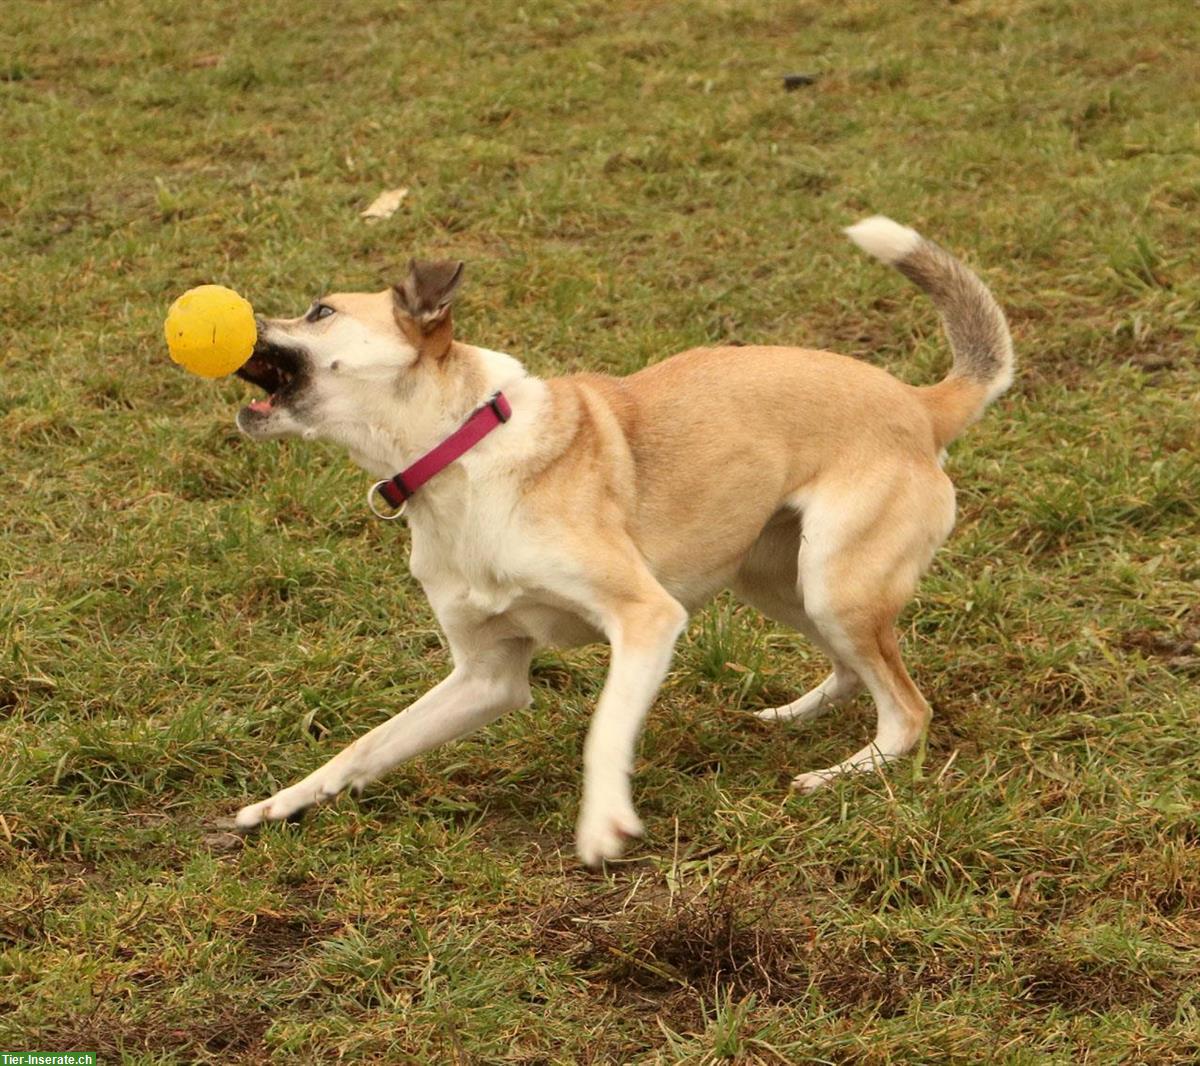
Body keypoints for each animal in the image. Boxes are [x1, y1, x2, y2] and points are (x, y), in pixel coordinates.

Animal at [229, 216, 1008, 864]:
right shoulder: (487, 675)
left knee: (907, 711)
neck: (461, 451)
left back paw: (838, 776)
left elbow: (604, 727)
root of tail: (921, 405)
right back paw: (789, 717)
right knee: (853, 673)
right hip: (775, 580)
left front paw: (603, 822)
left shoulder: (647, 617)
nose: (240, 314)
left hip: (833, 585)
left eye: (321, 311)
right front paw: (281, 804)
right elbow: (367, 746)